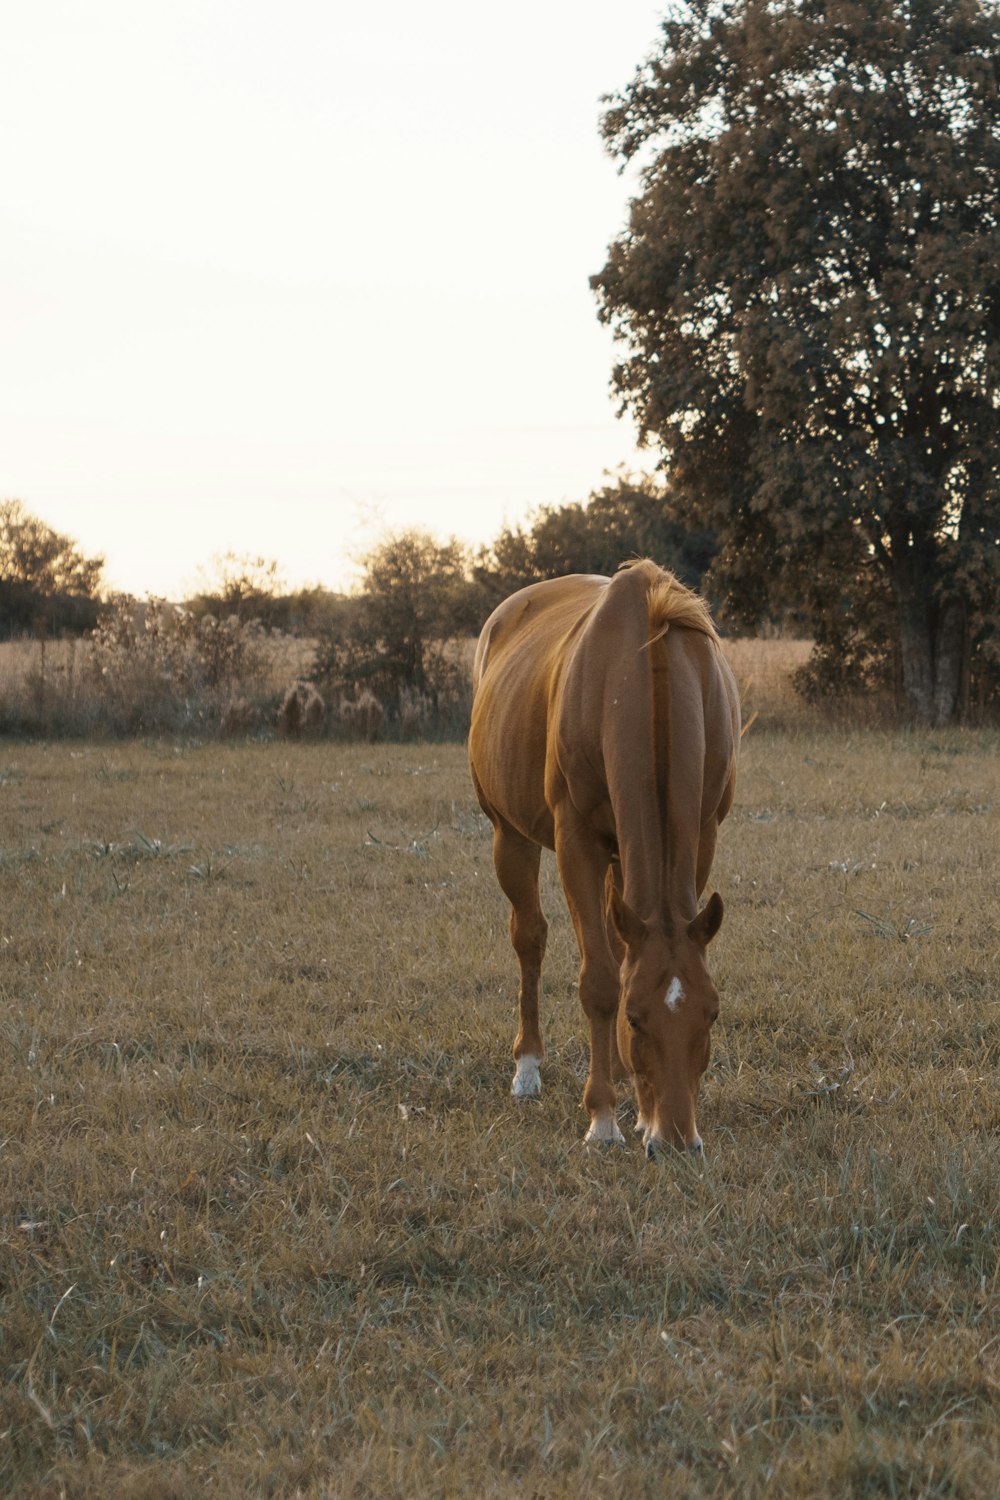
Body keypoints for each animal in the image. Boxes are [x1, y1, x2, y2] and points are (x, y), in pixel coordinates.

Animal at [470, 558, 743, 1152]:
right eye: (635, 1019)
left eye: (712, 1015)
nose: (677, 1140)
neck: (641, 668)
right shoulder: (576, 840)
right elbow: (598, 981)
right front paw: (602, 1119)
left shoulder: (703, 834)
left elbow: (624, 959)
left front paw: (635, 1106)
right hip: (510, 836)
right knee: (530, 937)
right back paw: (528, 1068)